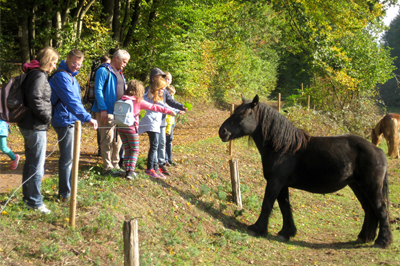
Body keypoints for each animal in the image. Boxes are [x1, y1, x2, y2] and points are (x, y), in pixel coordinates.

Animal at [217, 95, 392, 247]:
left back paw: (382, 241)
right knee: (369, 209)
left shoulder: (275, 182)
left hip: (371, 187)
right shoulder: (282, 184)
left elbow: (267, 204)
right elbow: (285, 206)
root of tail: (379, 151)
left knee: (381, 209)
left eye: (242, 114)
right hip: (358, 186)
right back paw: (363, 237)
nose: (222, 131)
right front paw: (286, 232)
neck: (283, 147)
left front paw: (257, 228)